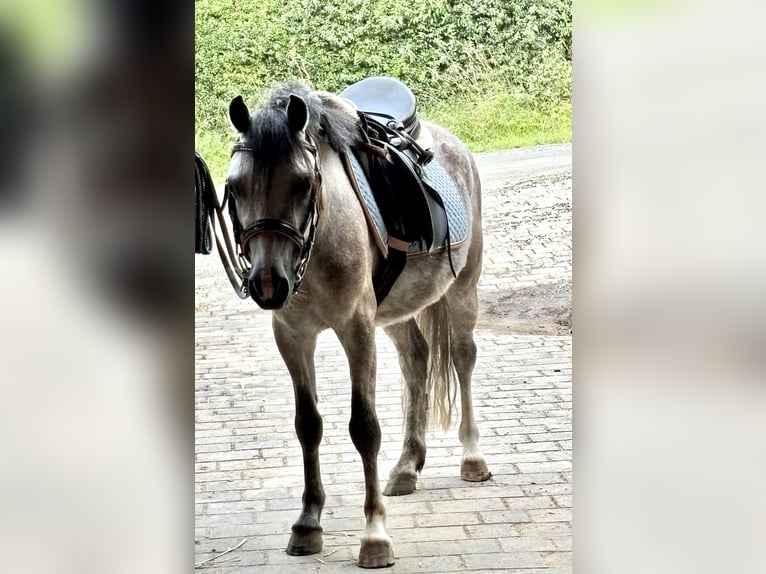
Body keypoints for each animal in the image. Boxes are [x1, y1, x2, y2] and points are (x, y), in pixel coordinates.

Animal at [222, 81, 490, 568]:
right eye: (234, 187)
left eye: (302, 183)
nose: (267, 284)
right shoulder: (292, 336)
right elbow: (307, 425)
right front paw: (307, 524)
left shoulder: (356, 330)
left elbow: (364, 428)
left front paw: (374, 535)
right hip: (396, 312)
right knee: (416, 361)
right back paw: (406, 466)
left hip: (463, 289)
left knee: (463, 359)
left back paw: (473, 458)